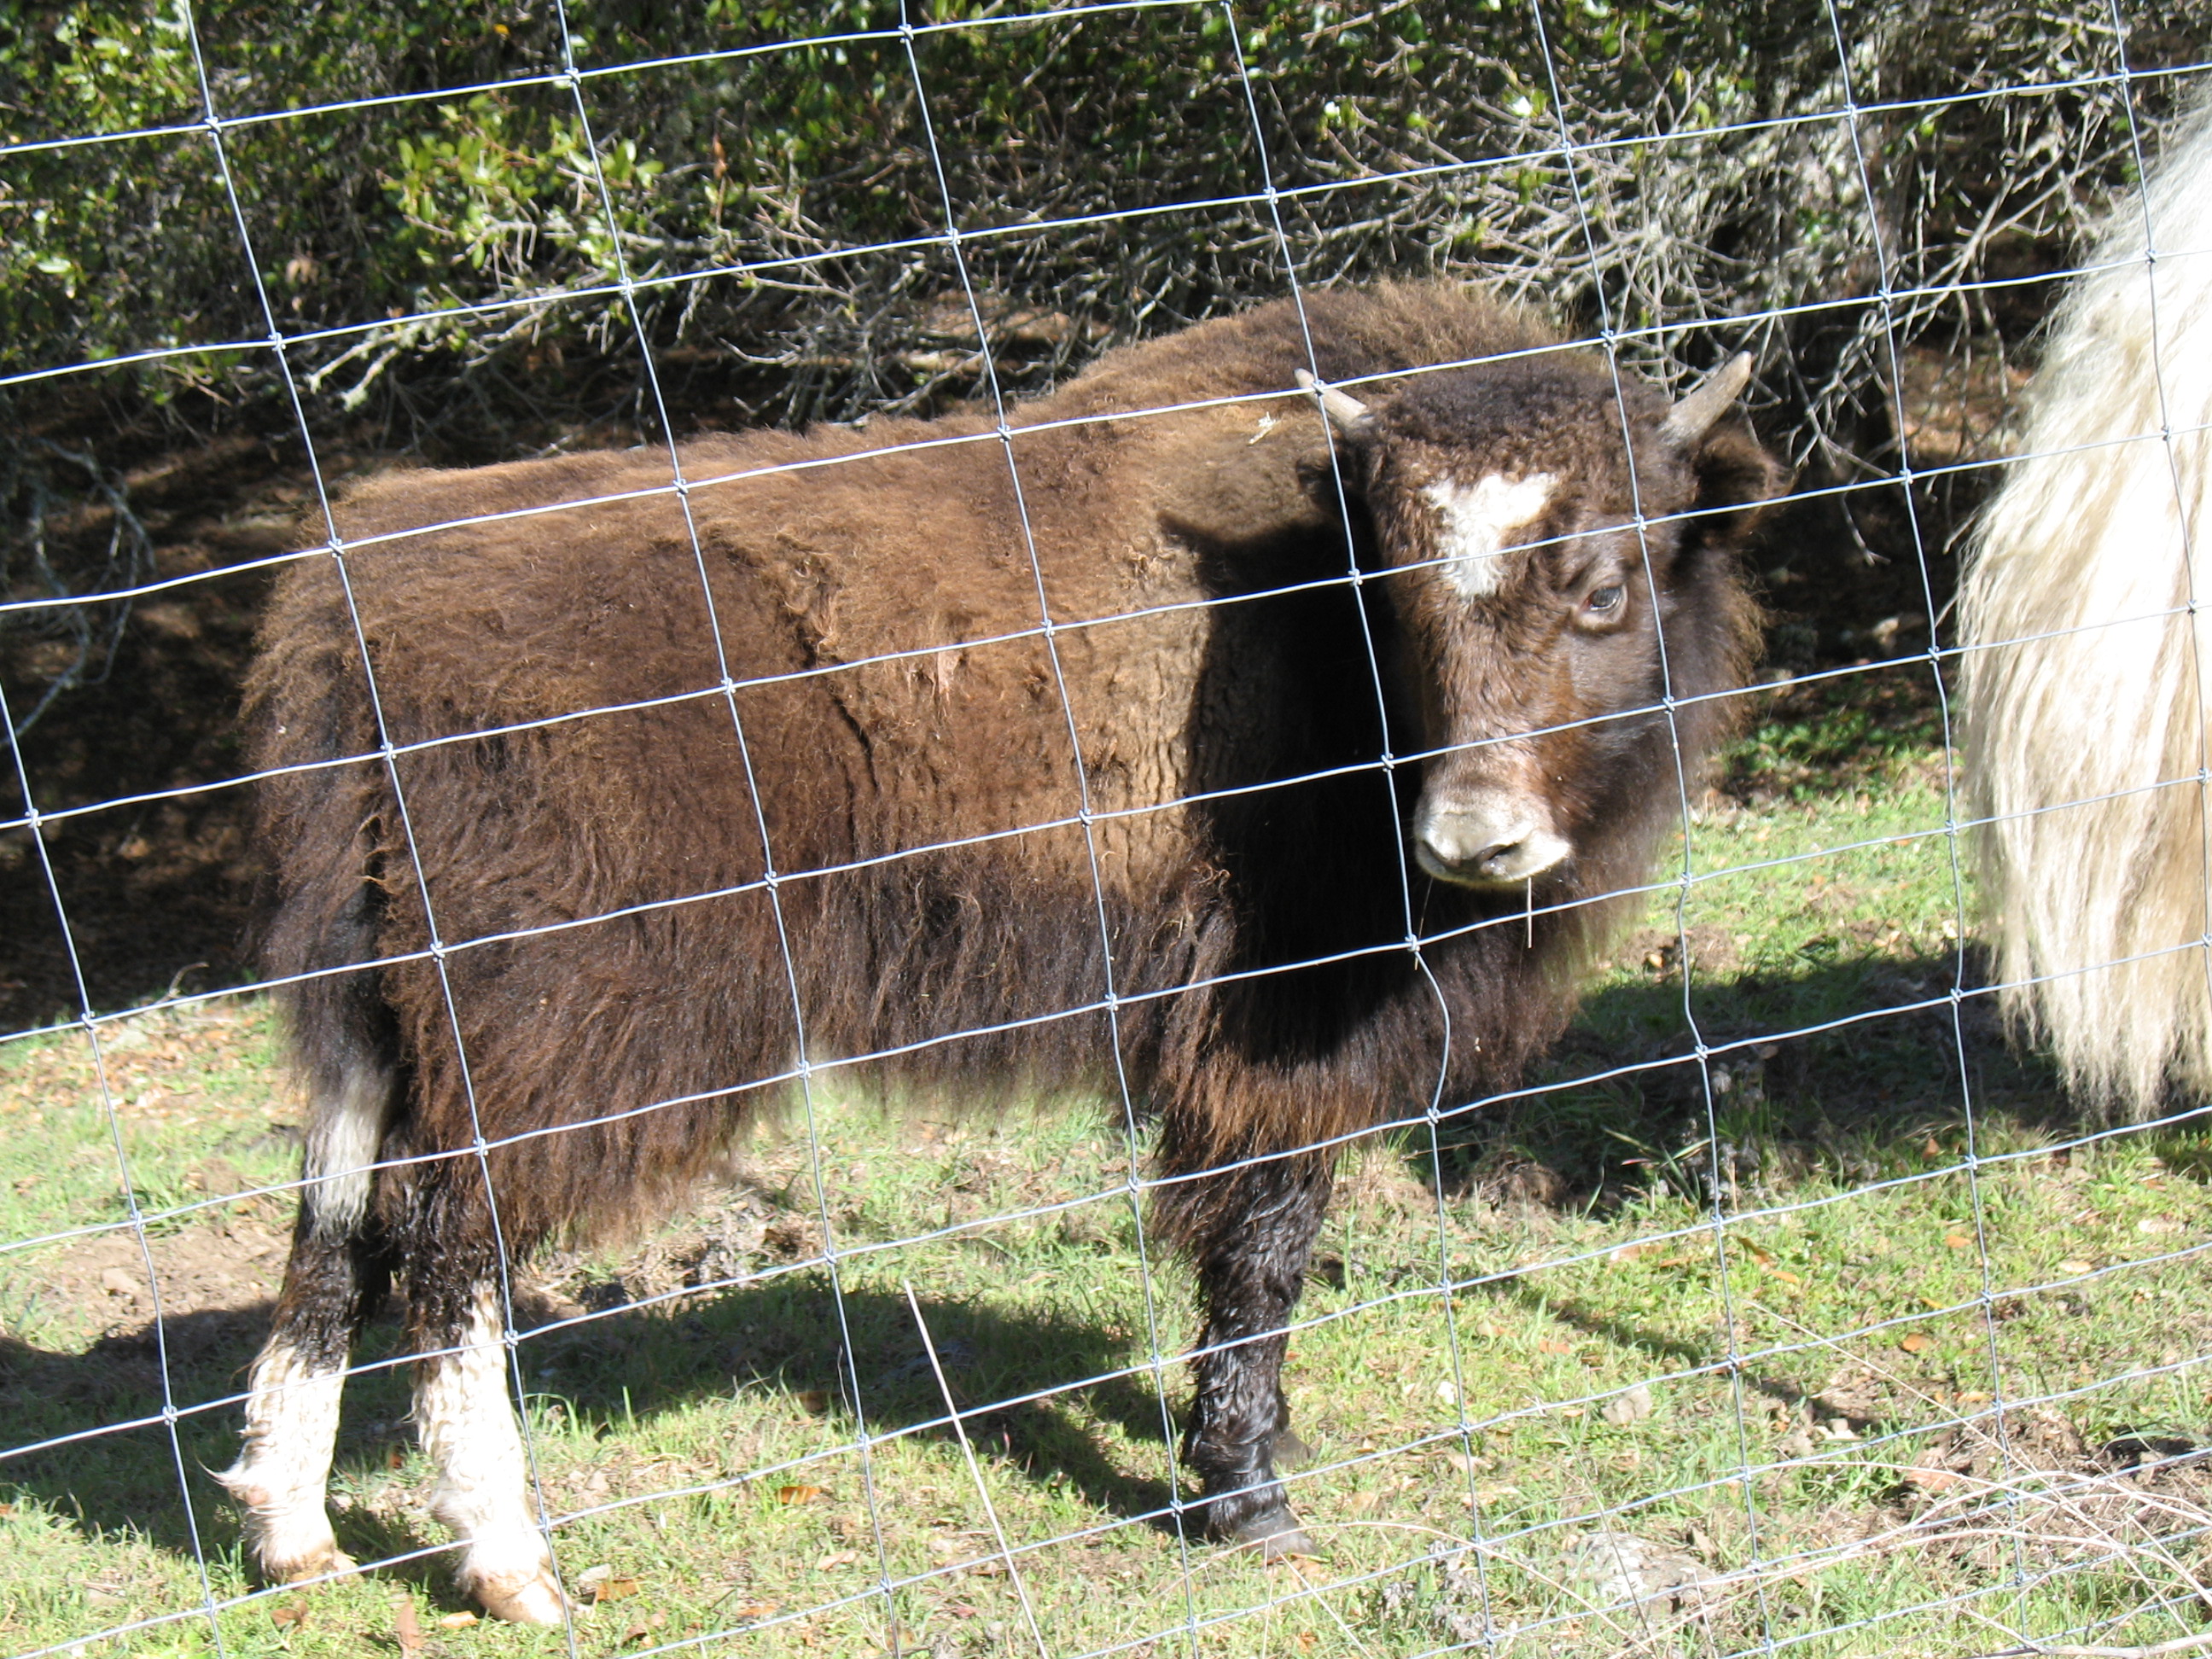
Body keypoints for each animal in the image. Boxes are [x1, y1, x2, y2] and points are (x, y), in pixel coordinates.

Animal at [220, 281, 1779, 1620]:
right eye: (1394, 591)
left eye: (1606, 584)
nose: (1471, 837)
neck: (1313, 629)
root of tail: (355, 610)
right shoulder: (1281, 1030)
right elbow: (1265, 1245)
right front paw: (1248, 1494)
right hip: (554, 1040)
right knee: (440, 1245)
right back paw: (513, 1564)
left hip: (383, 1020)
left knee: (332, 1229)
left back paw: (292, 1534)